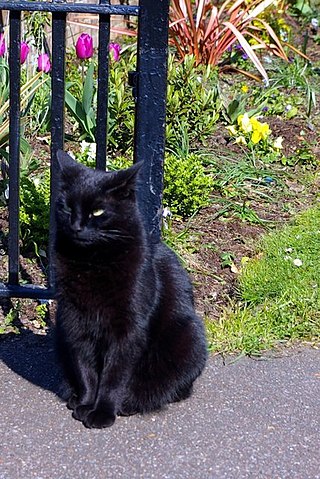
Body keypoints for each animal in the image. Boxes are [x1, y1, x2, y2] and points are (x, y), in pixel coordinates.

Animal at [55, 152, 208, 430]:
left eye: (97, 211)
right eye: (68, 207)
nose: (77, 226)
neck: (92, 262)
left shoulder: (128, 329)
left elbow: (114, 376)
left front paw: (102, 412)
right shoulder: (74, 323)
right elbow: (85, 370)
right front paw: (86, 403)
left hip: (188, 337)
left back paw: (129, 404)